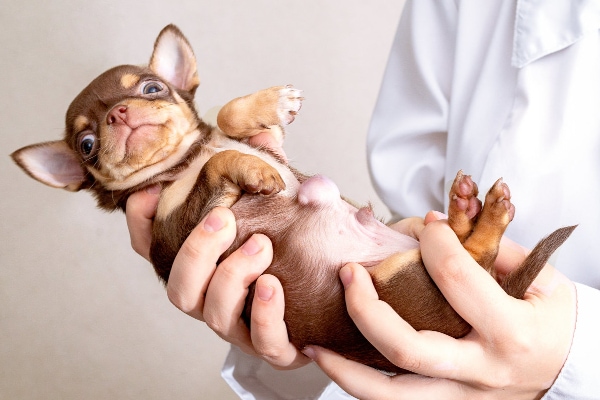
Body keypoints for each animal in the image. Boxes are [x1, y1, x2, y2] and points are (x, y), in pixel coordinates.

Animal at [8, 25, 572, 374]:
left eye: (151, 88)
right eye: (86, 144)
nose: (119, 114)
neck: (181, 163)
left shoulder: (250, 140)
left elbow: (228, 117)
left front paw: (271, 103)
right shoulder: (176, 227)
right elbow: (217, 166)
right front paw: (254, 171)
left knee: (466, 250)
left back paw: (465, 208)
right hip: (406, 282)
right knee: (472, 255)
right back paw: (479, 211)